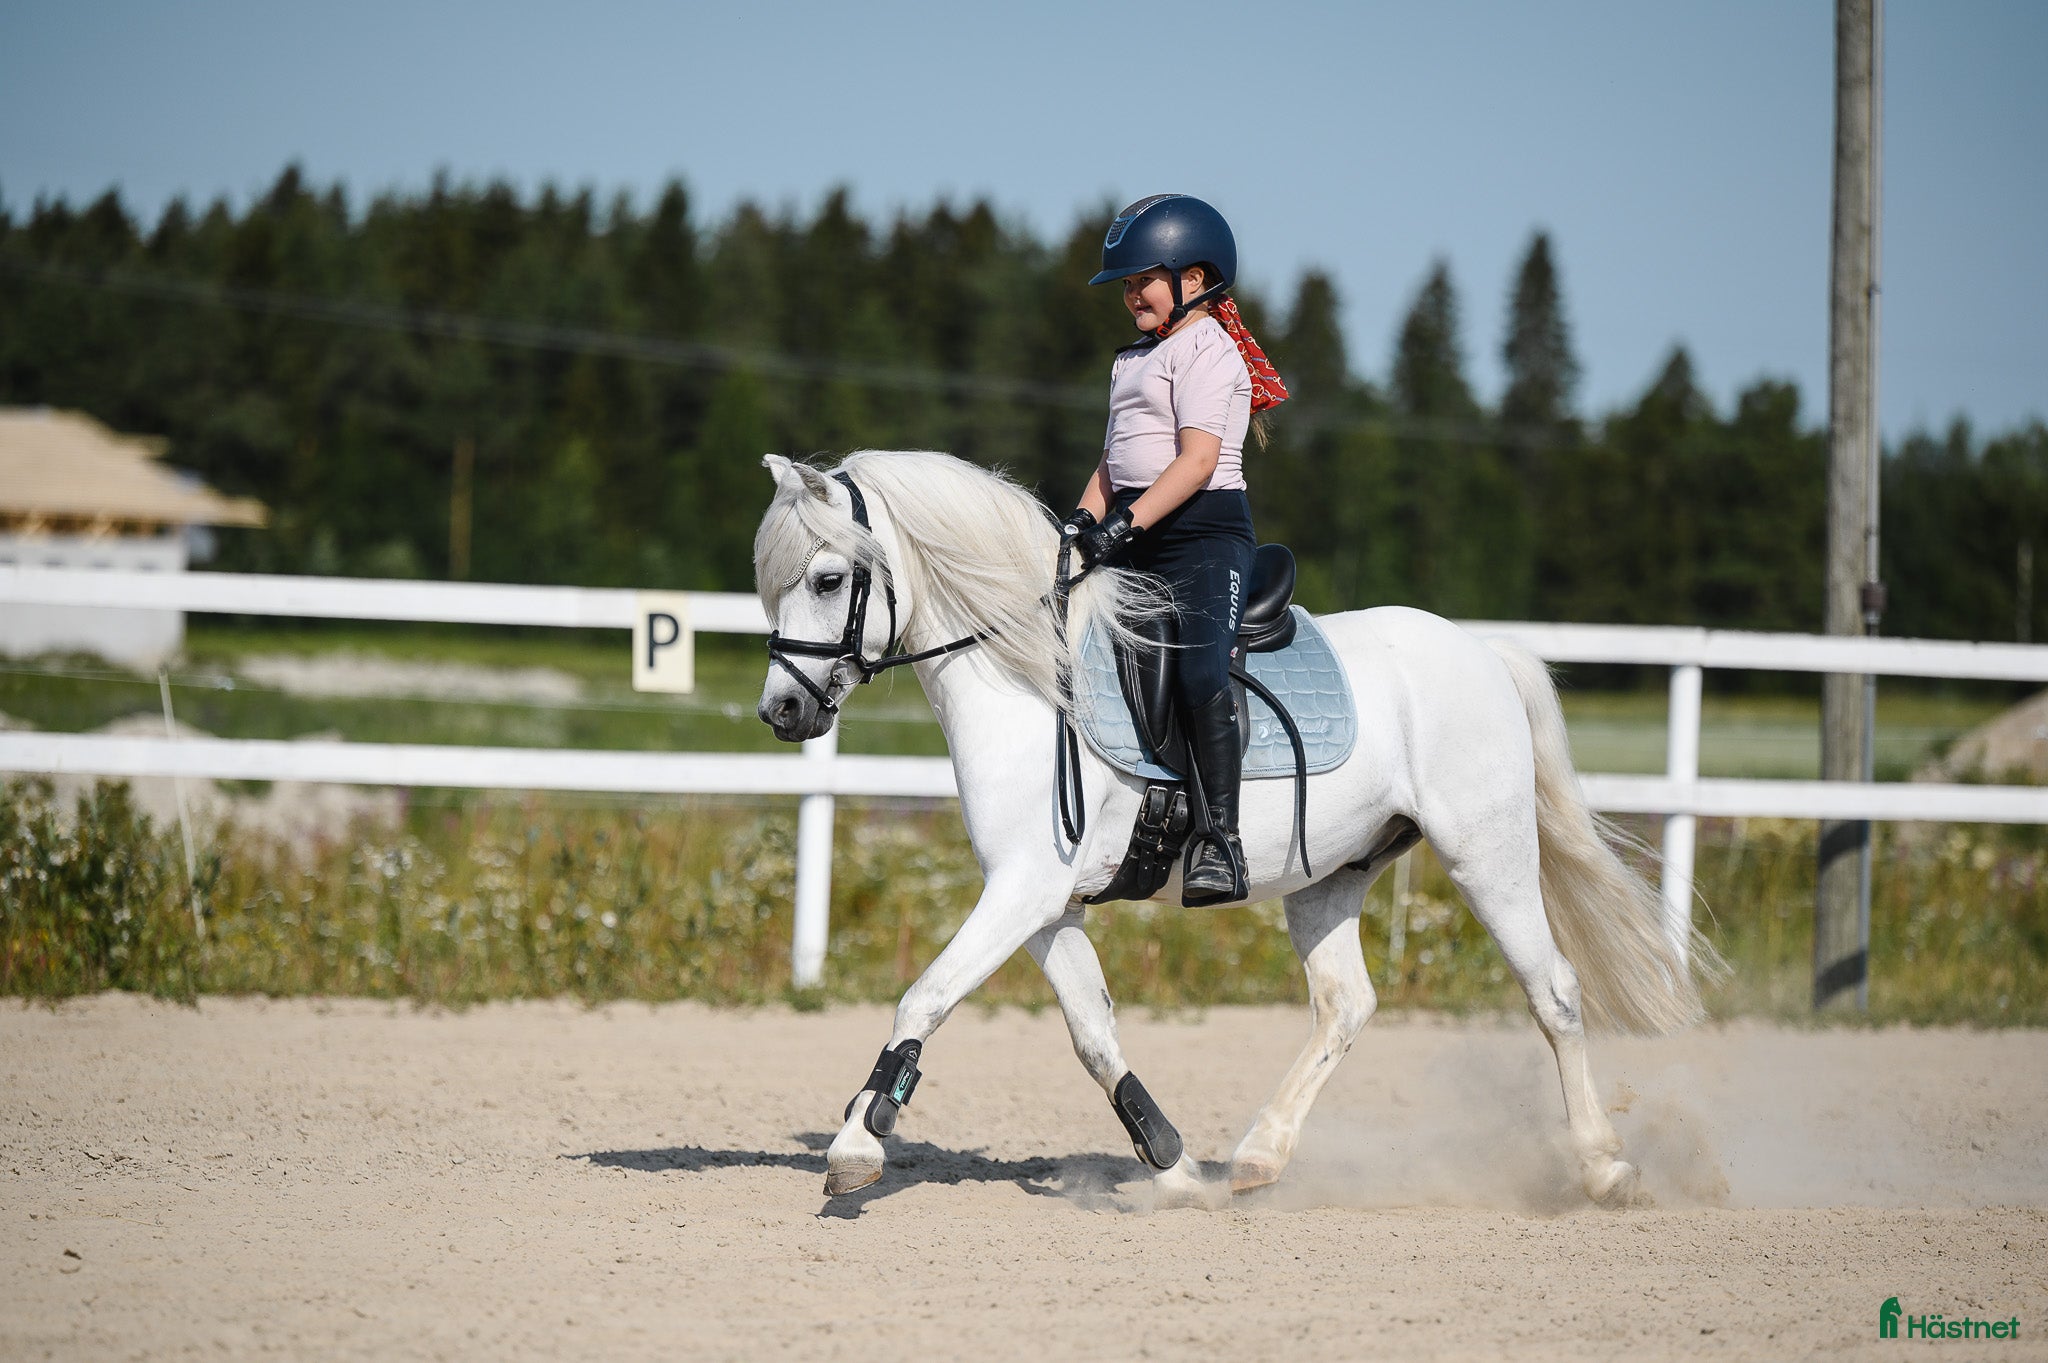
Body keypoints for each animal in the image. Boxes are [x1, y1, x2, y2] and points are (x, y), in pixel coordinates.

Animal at [752, 449, 1718, 1207]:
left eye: (828, 579)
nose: (781, 712)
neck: (1029, 680)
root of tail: (1483, 650)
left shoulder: (1024, 888)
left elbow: (927, 994)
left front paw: (857, 1142)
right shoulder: (1045, 905)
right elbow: (1093, 1034)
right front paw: (1174, 1169)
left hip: (1488, 851)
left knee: (1552, 989)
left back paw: (1604, 1169)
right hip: (1329, 876)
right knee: (1346, 1004)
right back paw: (1256, 1158)